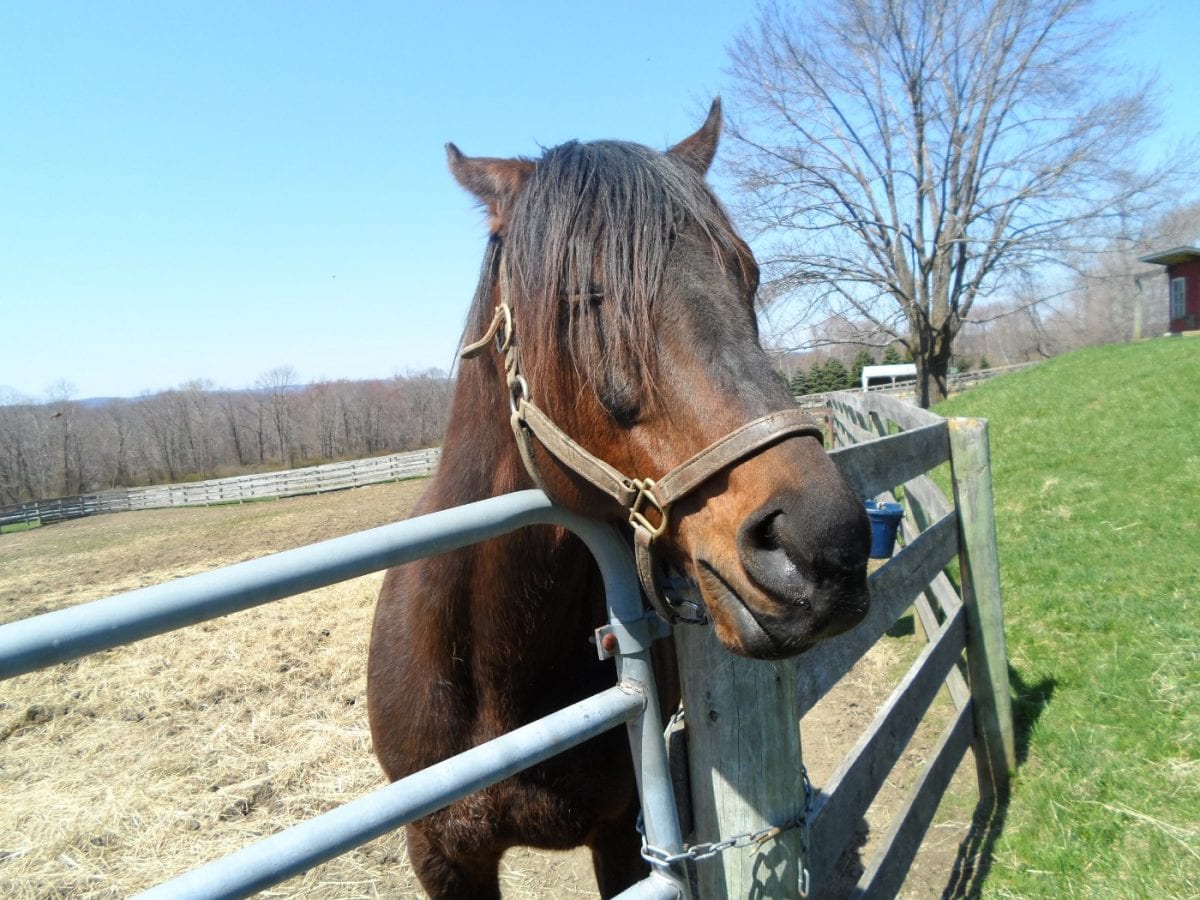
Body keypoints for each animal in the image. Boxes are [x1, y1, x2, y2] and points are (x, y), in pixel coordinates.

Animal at [367, 100, 873, 900]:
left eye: (749, 277)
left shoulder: (625, 836)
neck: (496, 674)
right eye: (582, 295)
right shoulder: (442, 857)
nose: (826, 546)